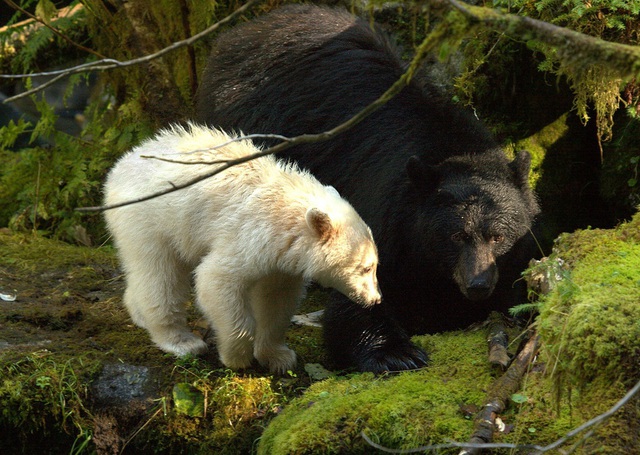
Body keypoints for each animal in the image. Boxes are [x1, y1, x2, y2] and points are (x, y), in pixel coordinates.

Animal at [104, 124, 380, 374]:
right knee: (161, 275)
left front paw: (279, 357)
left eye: (376, 265)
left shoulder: (282, 260)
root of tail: (119, 168)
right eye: (366, 267)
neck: (285, 214)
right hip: (151, 220)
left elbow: (276, 300)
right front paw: (236, 356)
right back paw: (182, 341)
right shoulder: (248, 235)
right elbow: (217, 280)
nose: (375, 299)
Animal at [196, 4, 540, 374]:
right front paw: (395, 352)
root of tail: (242, 32)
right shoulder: (384, 211)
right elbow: (364, 287)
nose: (478, 285)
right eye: (456, 235)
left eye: (498, 236)